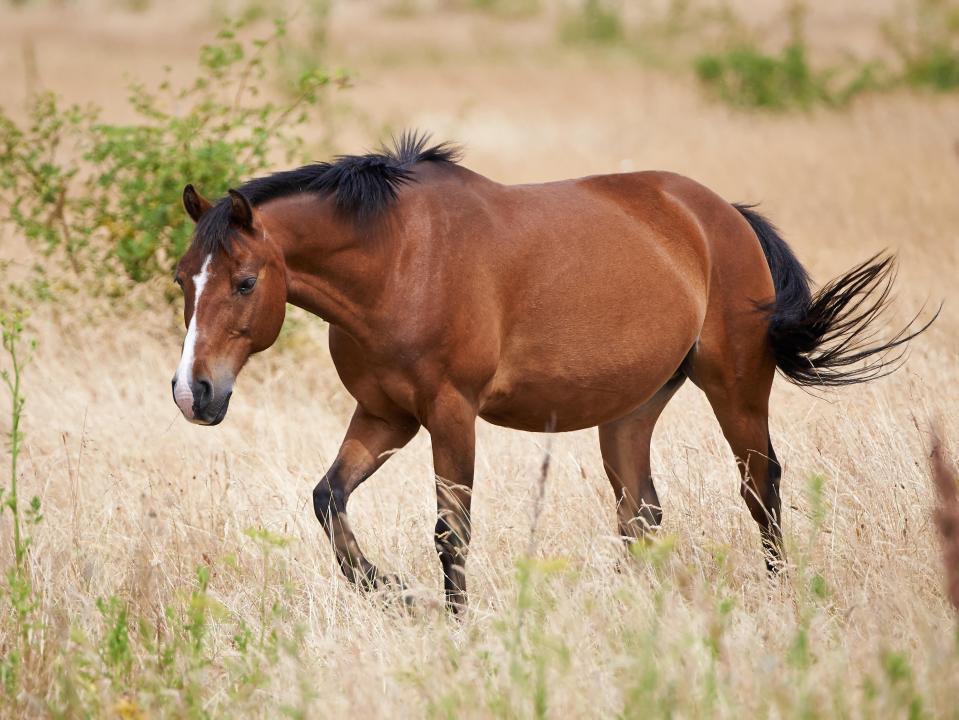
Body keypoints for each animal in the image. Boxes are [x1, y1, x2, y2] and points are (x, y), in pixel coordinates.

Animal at [172, 132, 936, 612]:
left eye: (244, 281)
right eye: (183, 277)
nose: (193, 393)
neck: (400, 260)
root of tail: (724, 215)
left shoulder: (449, 413)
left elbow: (451, 531)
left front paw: (453, 623)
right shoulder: (387, 414)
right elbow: (329, 499)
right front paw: (395, 593)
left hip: (737, 390)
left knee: (760, 489)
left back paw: (779, 593)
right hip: (631, 411)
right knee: (640, 510)